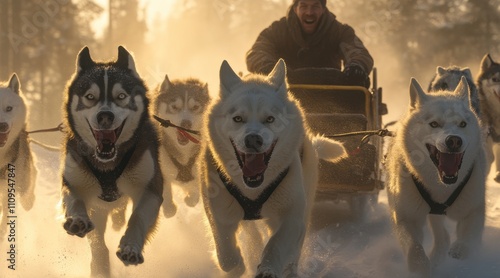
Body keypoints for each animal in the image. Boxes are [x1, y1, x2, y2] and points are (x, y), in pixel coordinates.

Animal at [59, 45, 163, 276]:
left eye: (121, 96)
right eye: (90, 96)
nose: (104, 116)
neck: (108, 165)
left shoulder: (150, 188)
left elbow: (138, 218)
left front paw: (130, 248)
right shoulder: (75, 182)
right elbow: (76, 202)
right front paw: (77, 220)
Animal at [150, 75, 209, 217]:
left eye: (195, 107)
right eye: (174, 107)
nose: (186, 123)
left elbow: (195, 191)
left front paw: (191, 198)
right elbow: (165, 188)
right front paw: (168, 207)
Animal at [198, 59, 344, 276]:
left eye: (270, 119)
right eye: (238, 118)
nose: (253, 139)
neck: (253, 189)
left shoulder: (291, 216)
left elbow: (275, 245)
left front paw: (268, 268)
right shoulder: (219, 212)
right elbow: (226, 254)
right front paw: (238, 265)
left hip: (304, 206)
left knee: (294, 251)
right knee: (252, 237)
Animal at [384, 77, 486, 276]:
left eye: (462, 124)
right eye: (434, 124)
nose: (454, 140)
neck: (441, 188)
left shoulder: (474, 209)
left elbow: (468, 238)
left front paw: (460, 249)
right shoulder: (405, 217)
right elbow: (414, 248)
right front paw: (421, 267)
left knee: (444, 237)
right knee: (441, 236)